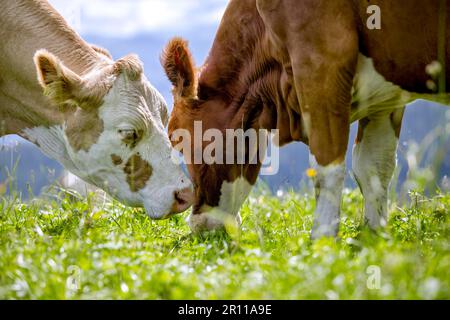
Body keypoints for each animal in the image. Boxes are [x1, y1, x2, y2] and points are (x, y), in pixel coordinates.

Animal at [163, 0, 450, 239]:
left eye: (178, 141)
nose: (197, 226)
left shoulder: (320, 64)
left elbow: (327, 169)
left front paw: (322, 243)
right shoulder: (384, 101)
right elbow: (373, 167)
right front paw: (374, 238)